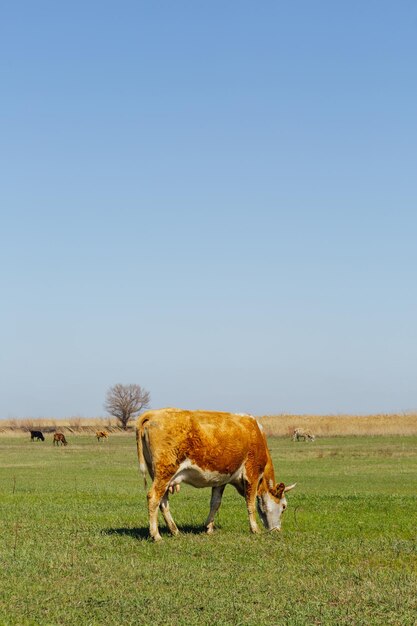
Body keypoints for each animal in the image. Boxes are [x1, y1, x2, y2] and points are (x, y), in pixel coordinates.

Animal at [135, 408, 294, 540]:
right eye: (284, 506)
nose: (277, 530)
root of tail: (153, 414)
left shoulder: (221, 479)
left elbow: (215, 503)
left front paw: (209, 527)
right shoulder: (252, 473)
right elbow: (251, 504)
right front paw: (255, 529)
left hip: (158, 474)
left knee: (163, 501)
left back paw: (174, 530)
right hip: (165, 472)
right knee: (153, 498)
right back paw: (156, 535)